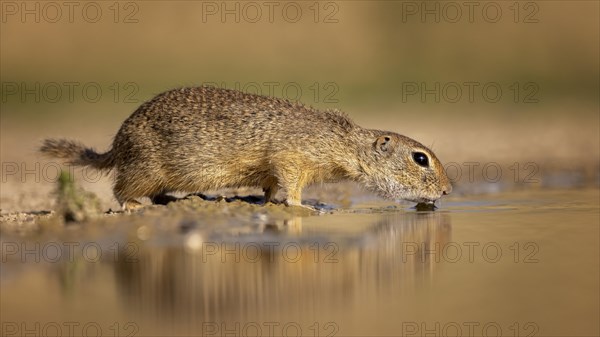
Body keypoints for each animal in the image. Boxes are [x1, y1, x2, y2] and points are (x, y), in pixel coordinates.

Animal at [41, 85, 450, 209]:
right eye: (420, 159)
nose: (448, 190)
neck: (344, 141)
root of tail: (117, 142)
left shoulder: (273, 169)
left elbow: (270, 186)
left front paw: (270, 200)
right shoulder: (292, 158)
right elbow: (291, 185)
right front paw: (306, 206)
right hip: (144, 167)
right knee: (119, 188)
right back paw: (131, 206)